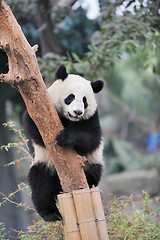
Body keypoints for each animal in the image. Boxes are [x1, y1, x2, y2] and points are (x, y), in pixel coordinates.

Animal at [23, 64, 104, 222]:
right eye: (70, 97)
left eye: (84, 100)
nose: (77, 112)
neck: (68, 120)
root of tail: (59, 188)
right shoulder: (39, 109)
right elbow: (33, 127)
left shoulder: (92, 117)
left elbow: (91, 139)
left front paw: (64, 137)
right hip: (45, 165)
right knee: (40, 184)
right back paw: (51, 214)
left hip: (92, 164)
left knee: (92, 174)